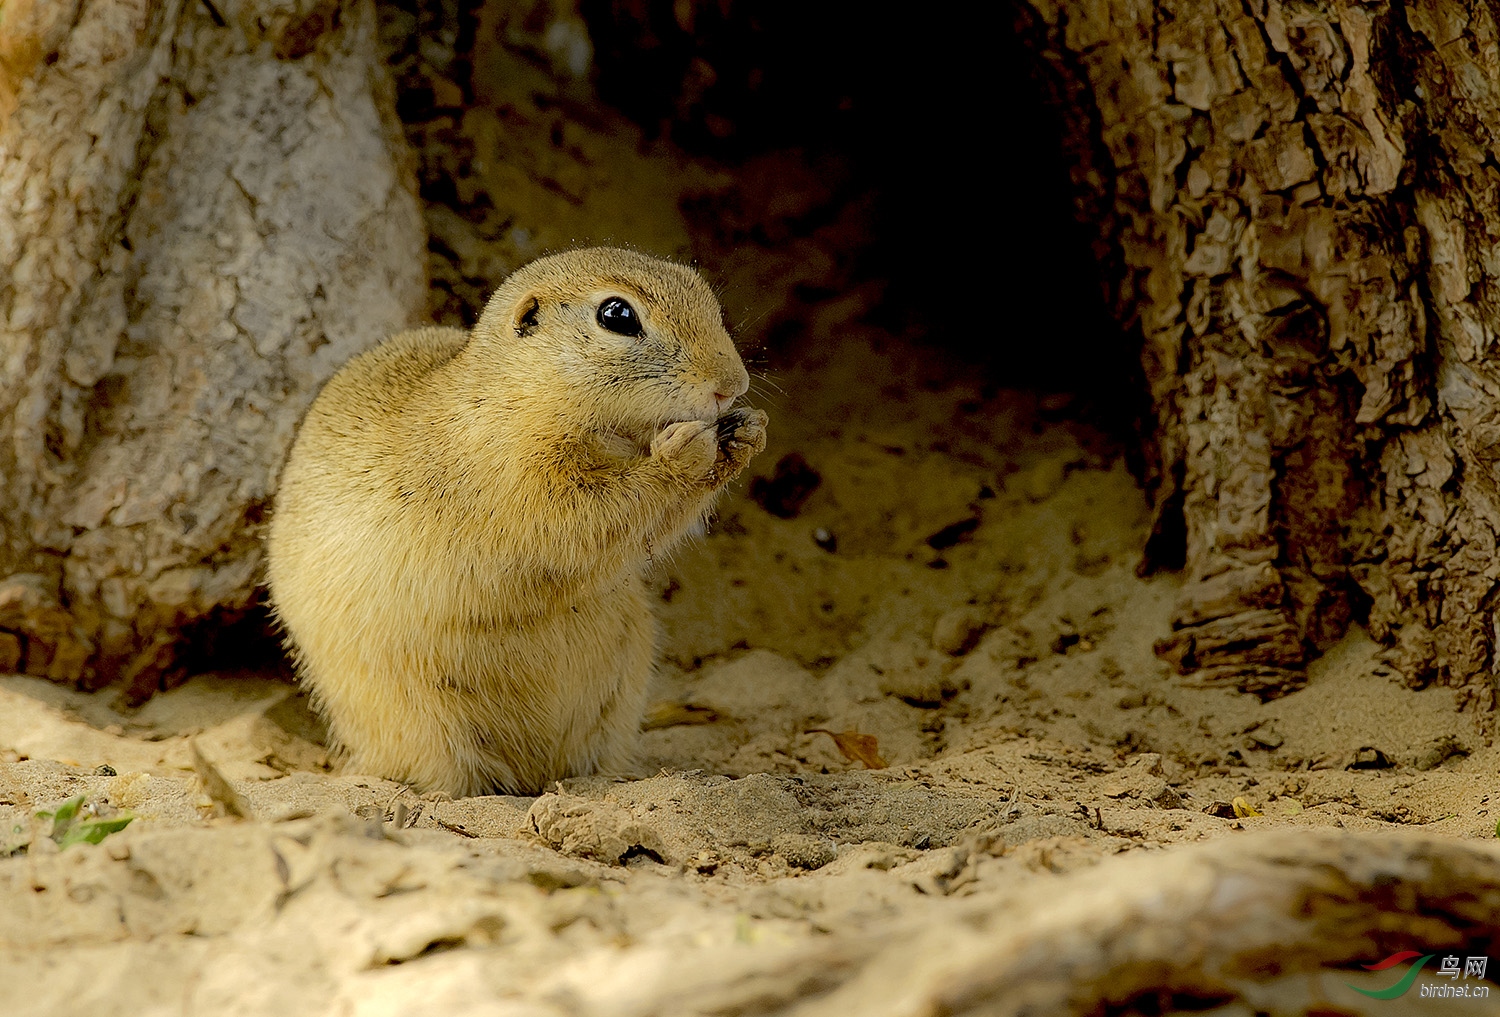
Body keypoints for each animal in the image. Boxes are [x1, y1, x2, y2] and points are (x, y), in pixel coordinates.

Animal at [262, 244, 768, 798]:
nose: (732, 385)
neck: (521, 396)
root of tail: (535, 774)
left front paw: (747, 432)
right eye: (617, 315)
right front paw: (685, 451)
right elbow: (601, 513)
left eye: (704, 295)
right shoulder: (526, 483)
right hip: (421, 722)